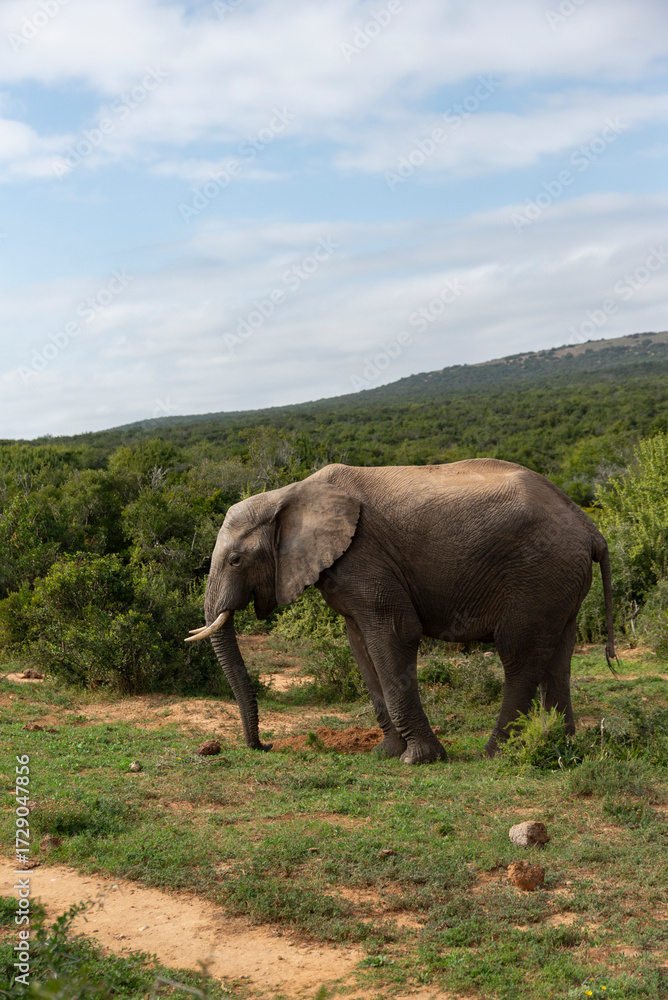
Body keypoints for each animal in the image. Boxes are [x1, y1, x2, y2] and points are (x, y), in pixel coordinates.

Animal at [186, 459, 615, 763]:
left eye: (236, 560)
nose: (266, 746)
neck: (287, 493)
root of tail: (590, 528)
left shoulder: (364, 557)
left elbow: (394, 635)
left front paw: (420, 760)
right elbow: (361, 646)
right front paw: (386, 754)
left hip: (537, 574)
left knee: (520, 657)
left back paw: (495, 754)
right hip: (560, 581)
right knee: (558, 658)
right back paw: (558, 745)